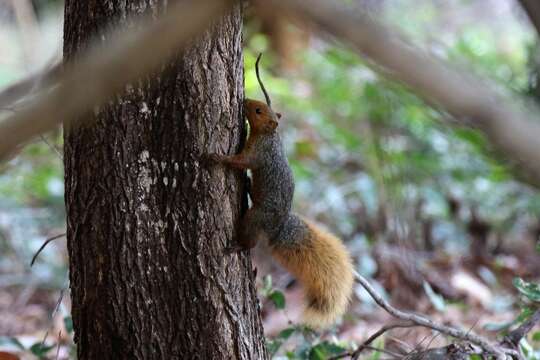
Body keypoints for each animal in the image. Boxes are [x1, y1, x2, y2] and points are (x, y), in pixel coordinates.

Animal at [207, 54, 354, 328]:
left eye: (258, 110)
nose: (244, 100)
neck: (271, 136)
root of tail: (277, 228)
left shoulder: (258, 155)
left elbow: (239, 162)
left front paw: (216, 158)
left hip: (255, 217)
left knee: (251, 241)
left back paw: (238, 246)